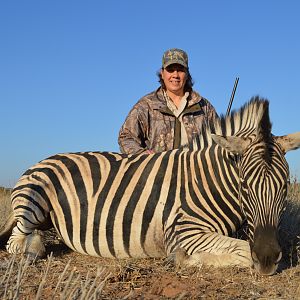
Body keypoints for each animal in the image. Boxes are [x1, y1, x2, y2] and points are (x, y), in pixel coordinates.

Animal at [0, 96, 300, 274]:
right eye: (244, 185)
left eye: (285, 186)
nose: (267, 257)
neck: (208, 180)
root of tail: (42, 160)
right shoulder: (184, 231)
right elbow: (242, 251)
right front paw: (182, 259)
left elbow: (242, 247)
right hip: (34, 201)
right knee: (16, 242)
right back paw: (33, 249)